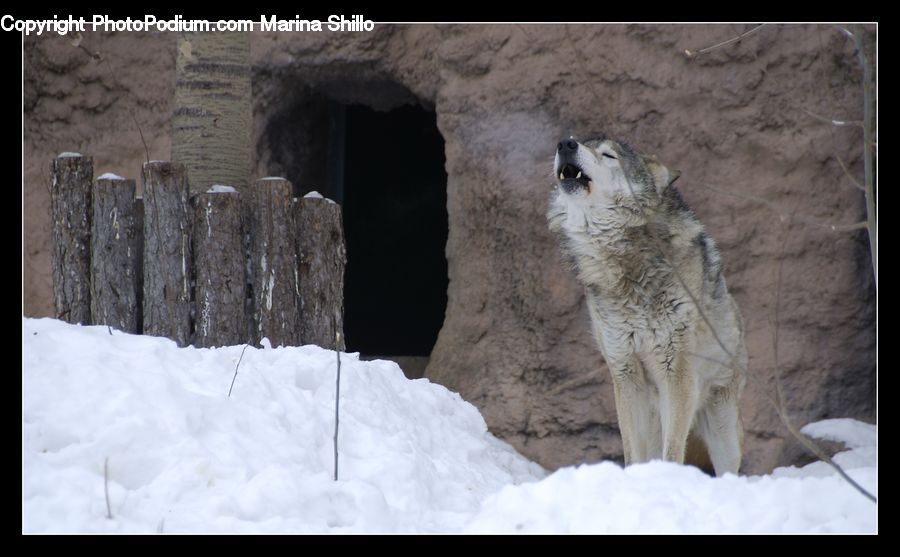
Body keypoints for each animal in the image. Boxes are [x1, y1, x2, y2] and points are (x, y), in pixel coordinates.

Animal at [547, 135, 747, 476]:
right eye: (580, 142)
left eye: (608, 155)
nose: (566, 143)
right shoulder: (625, 373)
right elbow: (631, 451)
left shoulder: (676, 372)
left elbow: (673, 451)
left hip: (723, 430)